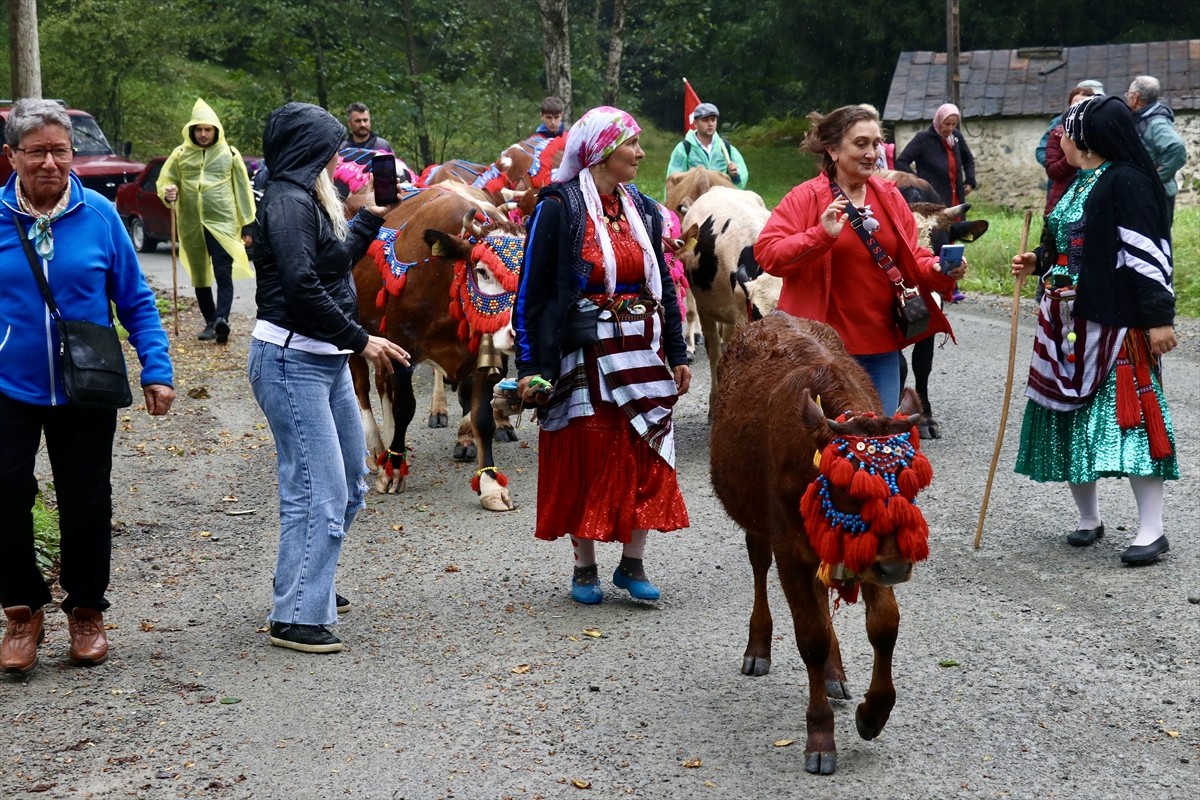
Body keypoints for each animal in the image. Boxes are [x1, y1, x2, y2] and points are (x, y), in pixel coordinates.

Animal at [710, 314, 936, 777]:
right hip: (759, 526)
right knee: (759, 568)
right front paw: (820, 738)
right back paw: (757, 649)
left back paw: (835, 674)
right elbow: (810, 637)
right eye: (848, 488)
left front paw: (873, 713)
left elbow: (884, 626)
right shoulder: (790, 550)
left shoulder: (868, 555)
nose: (897, 569)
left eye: (909, 483)